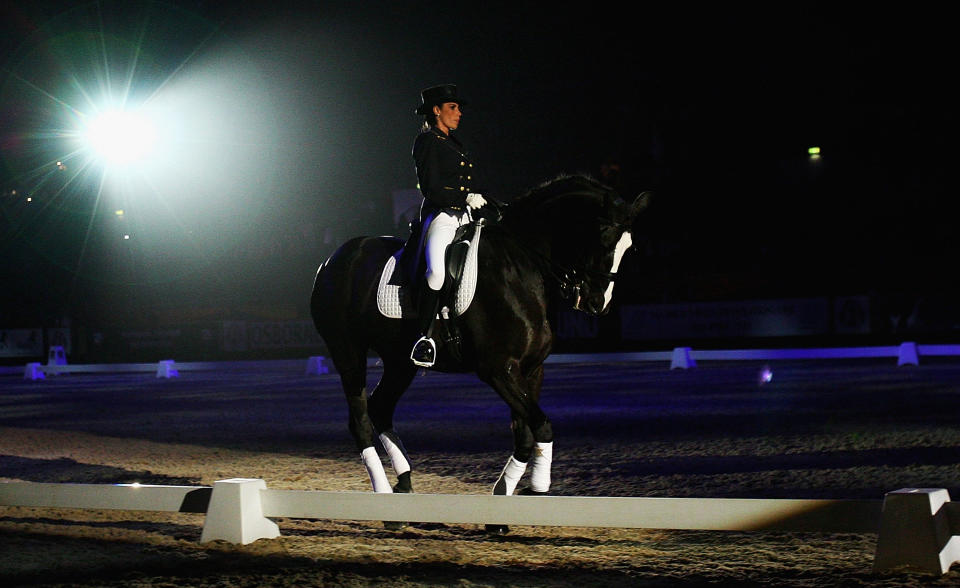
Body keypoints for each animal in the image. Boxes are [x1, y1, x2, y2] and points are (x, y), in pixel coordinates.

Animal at [312, 175, 648, 520]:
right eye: (604, 237)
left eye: (629, 247)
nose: (597, 303)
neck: (520, 268)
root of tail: (334, 258)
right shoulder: (499, 370)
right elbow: (542, 426)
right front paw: (536, 489)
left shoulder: (531, 370)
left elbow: (525, 434)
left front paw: (504, 501)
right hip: (348, 352)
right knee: (360, 421)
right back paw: (382, 496)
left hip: (400, 362)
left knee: (380, 409)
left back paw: (403, 483)